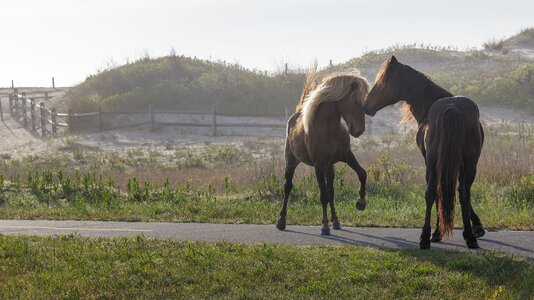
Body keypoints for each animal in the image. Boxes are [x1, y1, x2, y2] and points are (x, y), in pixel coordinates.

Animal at [278, 67, 370, 236]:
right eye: (354, 101)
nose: (359, 131)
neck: (328, 129)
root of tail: (295, 116)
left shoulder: (346, 155)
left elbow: (362, 173)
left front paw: (360, 203)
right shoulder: (319, 165)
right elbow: (323, 196)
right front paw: (325, 226)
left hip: (330, 167)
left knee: (331, 191)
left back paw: (336, 221)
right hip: (291, 162)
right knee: (287, 187)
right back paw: (281, 221)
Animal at [366, 56, 488, 248]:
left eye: (382, 82)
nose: (366, 105)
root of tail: (452, 109)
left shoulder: (430, 160)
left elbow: (438, 192)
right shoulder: (460, 163)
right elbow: (458, 191)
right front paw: (475, 227)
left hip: (433, 160)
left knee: (432, 192)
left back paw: (427, 236)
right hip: (469, 162)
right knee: (462, 192)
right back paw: (469, 237)